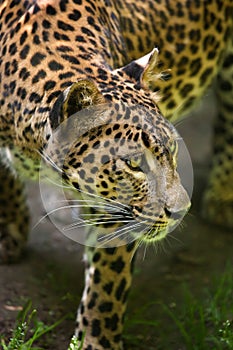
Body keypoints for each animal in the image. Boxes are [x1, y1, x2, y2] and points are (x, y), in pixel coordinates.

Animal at [0, 0, 232, 350]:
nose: (181, 211)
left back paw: (223, 197)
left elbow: (108, 281)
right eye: (134, 163)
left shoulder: (113, 208)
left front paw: (96, 340)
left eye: (172, 149)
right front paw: (7, 230)